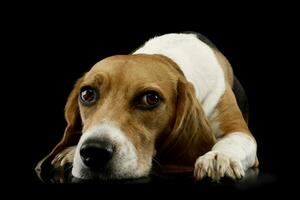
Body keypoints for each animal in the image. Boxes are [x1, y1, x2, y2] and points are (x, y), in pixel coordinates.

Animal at [35, 32, 258, 183]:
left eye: (151, 98)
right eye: (87, 94)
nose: (94, 152)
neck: (168, 56)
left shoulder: (240, 131)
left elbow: (232, 142)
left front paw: (218, 157)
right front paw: (71, 151)